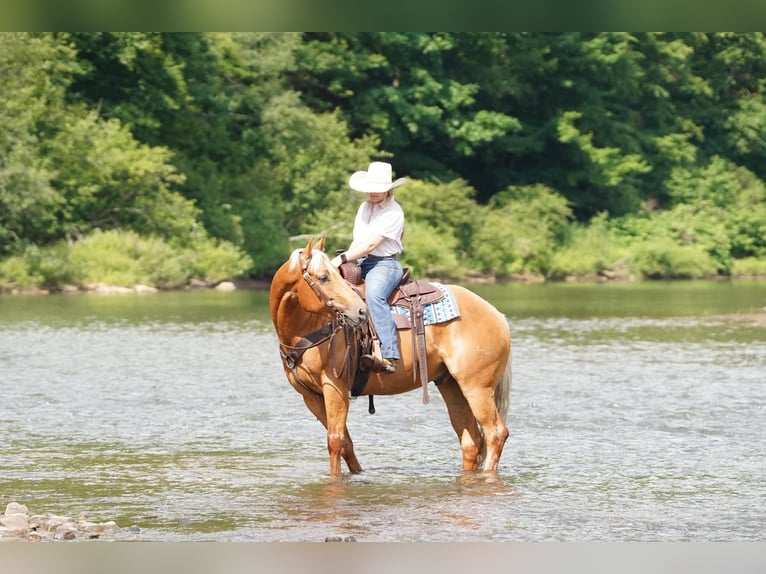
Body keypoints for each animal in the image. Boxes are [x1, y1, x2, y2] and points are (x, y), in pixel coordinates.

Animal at [269, 236, 511, 476]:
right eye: (323, 277)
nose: (361, 311)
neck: (307, 327)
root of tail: (497, 314)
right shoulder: (311, 397)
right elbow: (346, 444)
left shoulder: (335, 388)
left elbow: (335, 441)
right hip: (451, 385)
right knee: (471, 441)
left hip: (477, 387)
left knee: (495, 433)